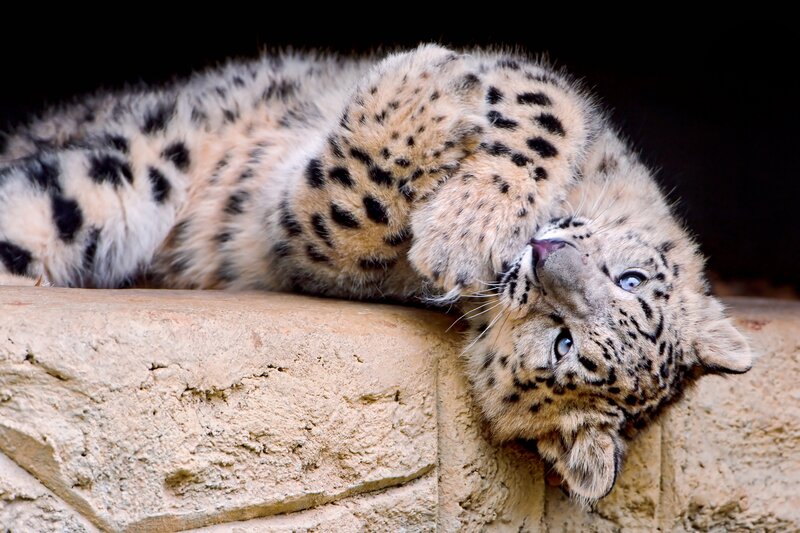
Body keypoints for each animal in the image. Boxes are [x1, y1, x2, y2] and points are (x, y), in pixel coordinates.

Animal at [0, 44, 753, 503]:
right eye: (631, 280)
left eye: (562, 341)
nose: (545, 256)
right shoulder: (544, 90)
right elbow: (539, 112)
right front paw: (461, 184)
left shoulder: (307, 243)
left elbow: (343, 205)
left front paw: (446, 217)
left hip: (106, 186)